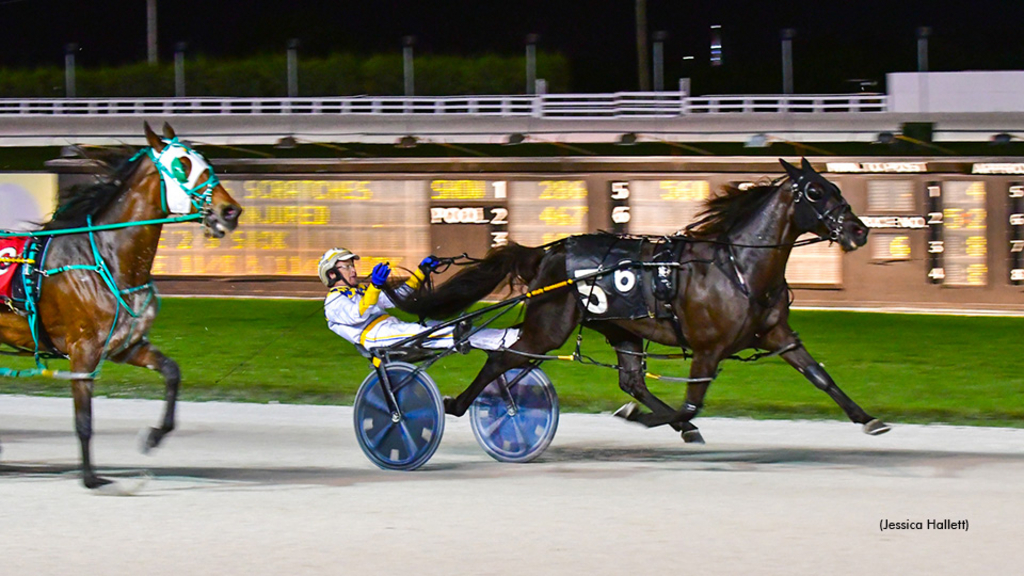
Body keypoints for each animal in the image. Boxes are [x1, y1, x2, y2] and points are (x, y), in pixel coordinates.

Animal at [0, 121, 241, 487]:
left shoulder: (125, 345)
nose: (230, 211)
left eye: (206, 161)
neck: (103, 257)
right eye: (181, 165)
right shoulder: (83, 350)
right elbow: (84, 420)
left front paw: (154, 436)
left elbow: (172, 372)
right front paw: (91, 478)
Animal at [389, 158, 888, 440]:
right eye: (816, 191)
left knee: (632, 381)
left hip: (619, 326)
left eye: (837, 187)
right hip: (549, 326)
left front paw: (868, 418)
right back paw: (454, 404)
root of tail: (545, 252)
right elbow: (692, 401)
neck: (739, 267)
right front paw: (660, 421)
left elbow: (819, 376)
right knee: (502, 359)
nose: (858, 230)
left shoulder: (777, 334)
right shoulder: (708, 348)